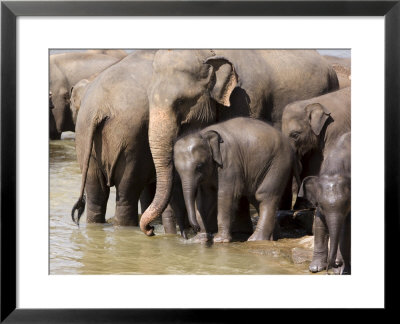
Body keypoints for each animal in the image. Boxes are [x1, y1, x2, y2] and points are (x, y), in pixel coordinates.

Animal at [298, 133, 352, 274]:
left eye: (346, 204)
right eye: (321, 205)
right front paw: (315, 268)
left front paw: (342, 269)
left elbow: (346, 228)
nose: (331, 268)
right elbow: (319, 224)